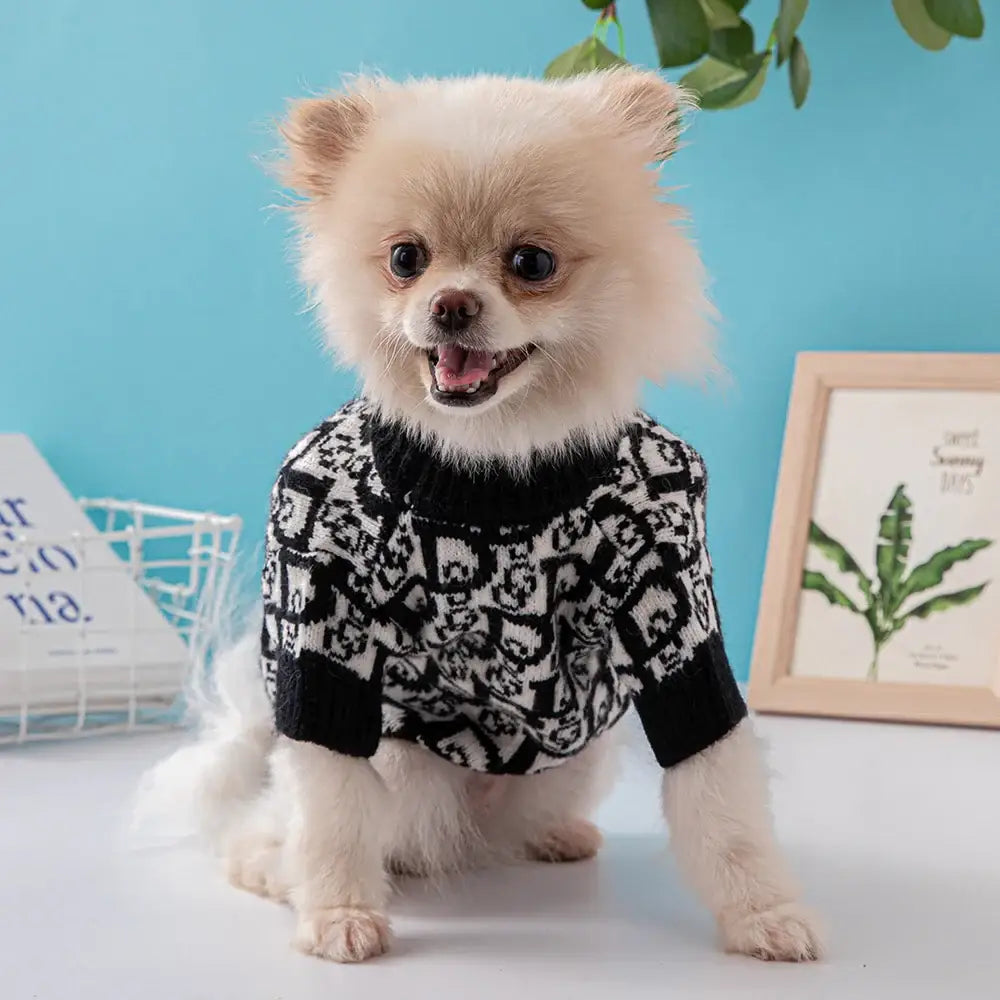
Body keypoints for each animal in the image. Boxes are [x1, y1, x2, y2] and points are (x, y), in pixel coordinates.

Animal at [143, 68, 828, 960]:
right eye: (406, 258)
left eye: (531, 262)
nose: (452, 304)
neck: (489, 463)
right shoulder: (319, 598)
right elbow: (331, 806)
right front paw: (337, 914)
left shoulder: (671, 596)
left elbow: (720, 793)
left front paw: (764, 914)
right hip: (401, 769)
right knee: (278, 824)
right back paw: (277, 872)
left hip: (576, 756)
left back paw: (551, 836)